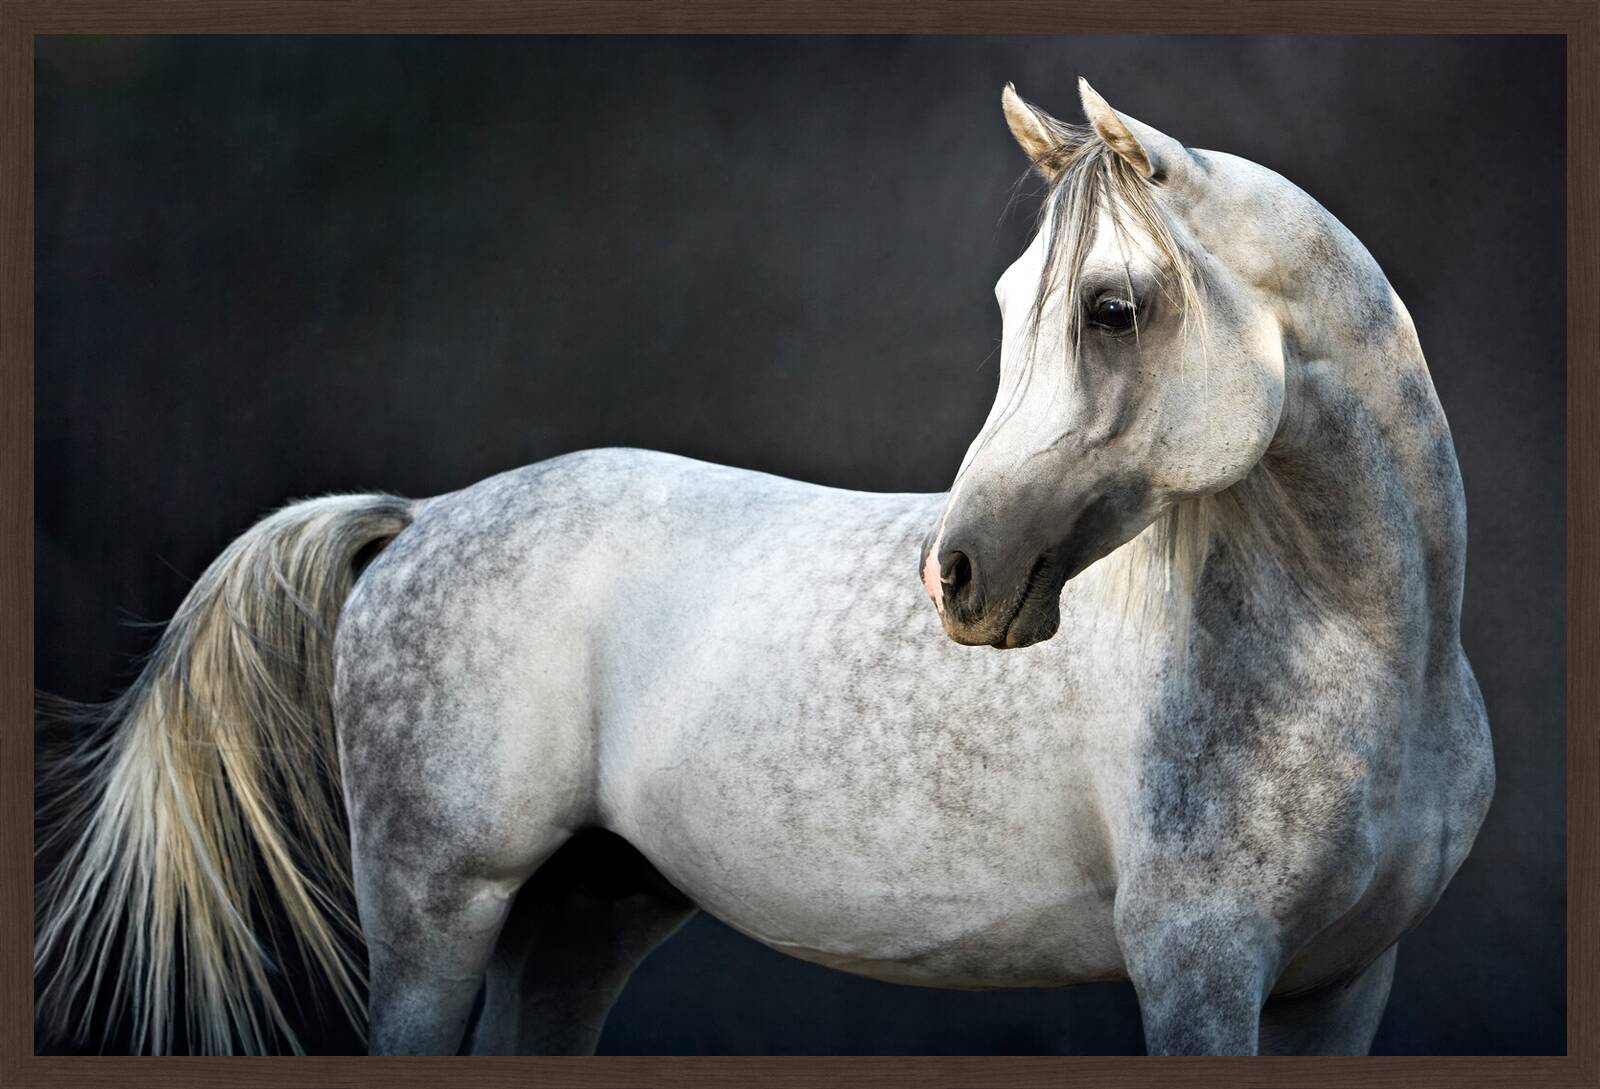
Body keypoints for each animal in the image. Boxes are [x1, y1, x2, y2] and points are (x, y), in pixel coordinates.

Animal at [35, 78, 1494, 1058]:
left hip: (580, 917)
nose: (958, 575)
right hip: (433, 914)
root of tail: (423, 519)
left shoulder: (1338, 988)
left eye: (1112, 309)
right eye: (1016, 304)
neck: (1370, 667)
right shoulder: (1199, 977)